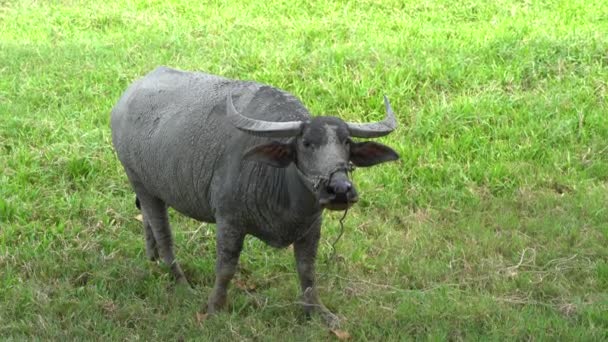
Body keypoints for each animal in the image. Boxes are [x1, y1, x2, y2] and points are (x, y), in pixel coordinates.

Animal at [110, 67, 400, 326]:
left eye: (347, 143)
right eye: (306, 143)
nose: (339, 189)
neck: (279, 184)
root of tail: (126, 98)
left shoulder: (311, 227)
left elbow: (307, 270)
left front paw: (318, 312)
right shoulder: (229, 221)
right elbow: (225, 268)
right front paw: (214, 308)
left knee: (147, 221)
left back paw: (152, 259)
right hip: (139, 181)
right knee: (163, 234)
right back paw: (181, 282)